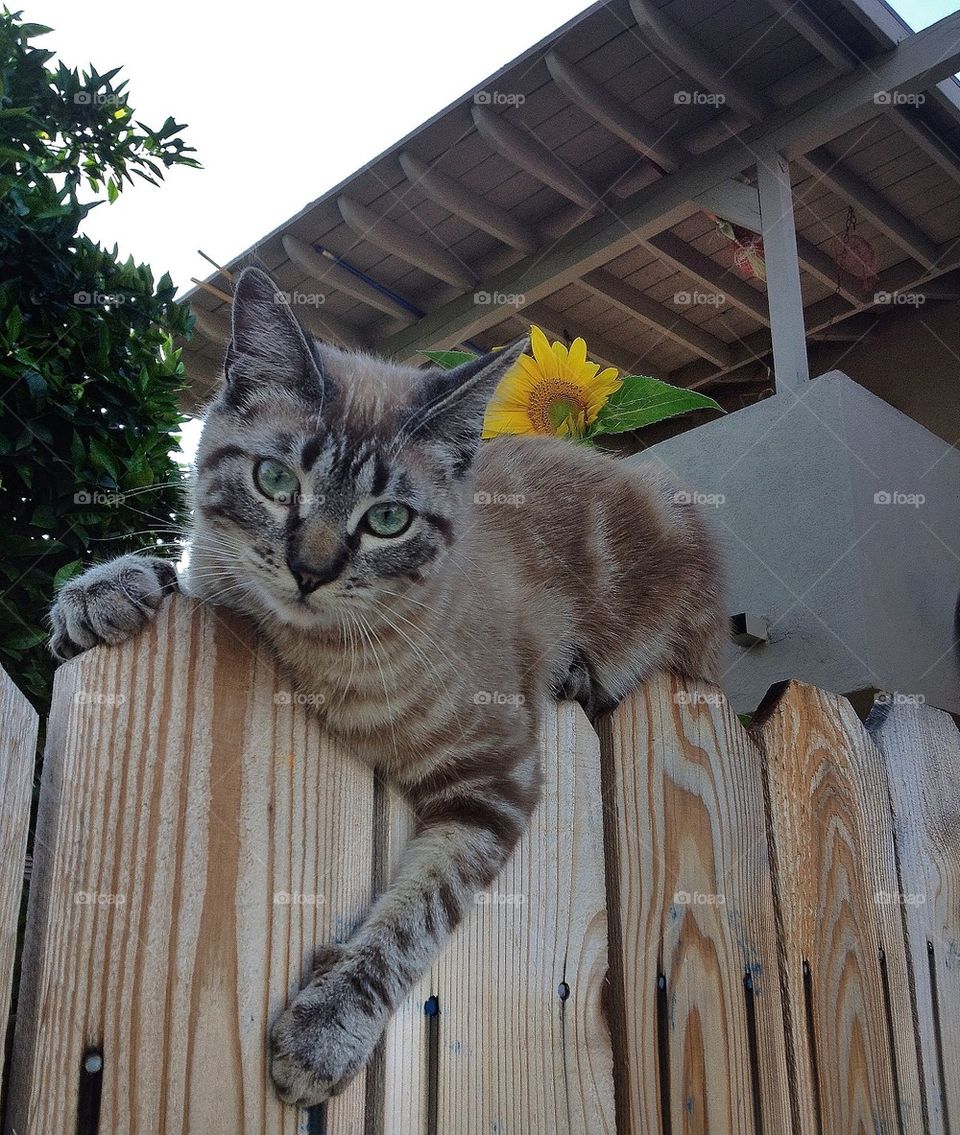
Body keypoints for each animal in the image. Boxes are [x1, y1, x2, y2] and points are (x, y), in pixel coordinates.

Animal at [47, 263, 721, 1098]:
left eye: (388, 519)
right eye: (275, 479)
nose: (310, 570)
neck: (314, 651)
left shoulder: (494, 782)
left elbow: (410, 919)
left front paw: (326, 1030)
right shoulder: (225, 584)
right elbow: (186, 575)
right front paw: (104, 587)